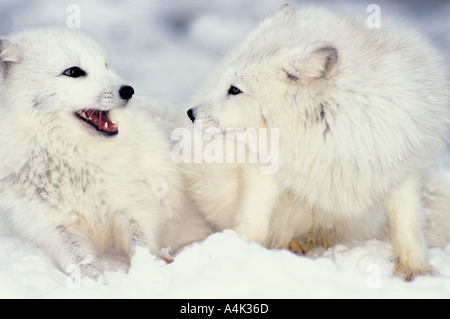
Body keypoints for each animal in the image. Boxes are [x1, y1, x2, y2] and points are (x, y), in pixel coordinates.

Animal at [0, 27, 210, 280]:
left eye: (106, 65)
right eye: (73, 72)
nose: (128, 90)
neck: (74, 160)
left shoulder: (133, 205)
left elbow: (141, 243)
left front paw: (147, 271)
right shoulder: (52, 226)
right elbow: (80, 263)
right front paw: (97, 282)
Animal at [185, 4, 448, 280]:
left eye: (235, 90)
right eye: (224, 84)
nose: (190, 113)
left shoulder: (403, 171)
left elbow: (408, 227)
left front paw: (416, 271)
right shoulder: (262, 173)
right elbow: (253, 220)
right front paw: (241, 254)